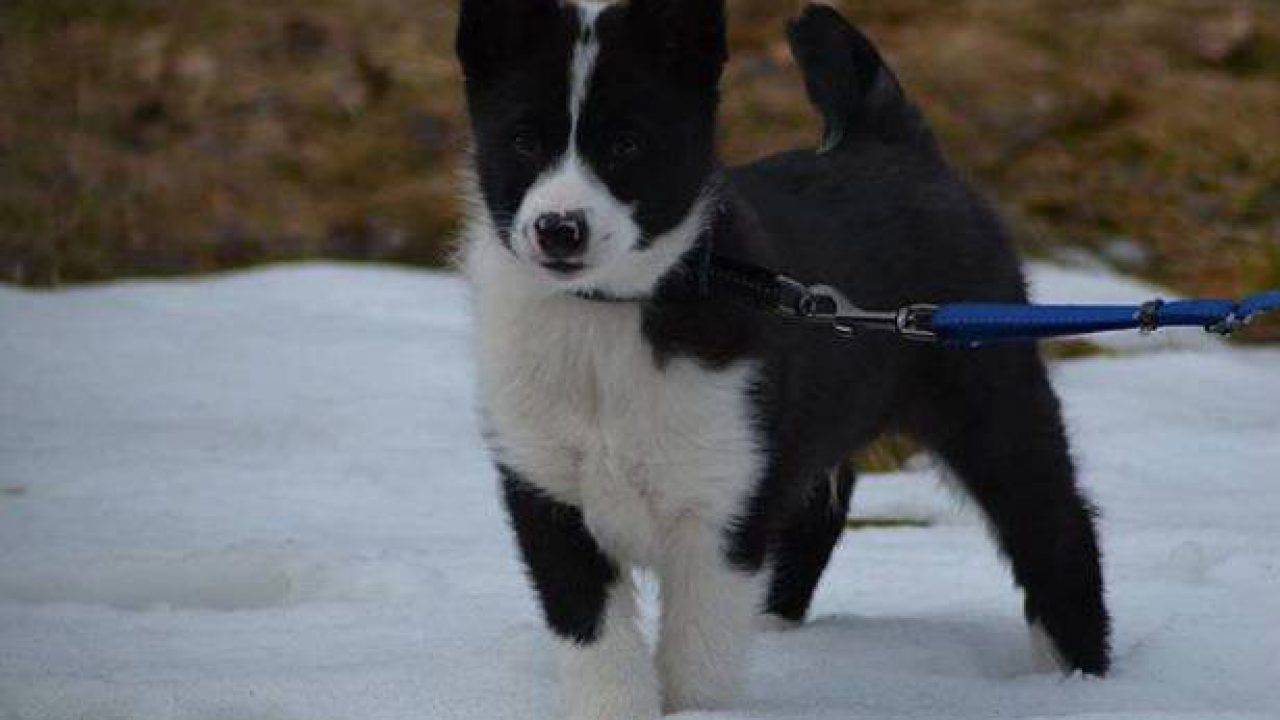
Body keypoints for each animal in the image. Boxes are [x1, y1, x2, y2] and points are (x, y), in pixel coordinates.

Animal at [458, 2, 1111, 712]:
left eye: (627, 144)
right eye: (524, 141)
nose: (559, 230)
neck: (609, 314)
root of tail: (894, 142)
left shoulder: (724, 502)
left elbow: (698, 655)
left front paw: (697, 715)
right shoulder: (546, 488)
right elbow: (594, 639)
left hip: (991, 394)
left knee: (1056, 524)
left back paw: (1081, 677)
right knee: (819, 508)